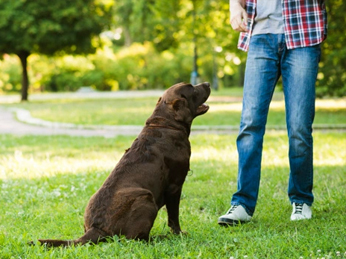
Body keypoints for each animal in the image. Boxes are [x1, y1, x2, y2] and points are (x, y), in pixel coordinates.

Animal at [37, 82, 211, 248]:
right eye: (192, 88)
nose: (208, 83)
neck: (166, 124)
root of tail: (96, 227)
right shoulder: (175, 186)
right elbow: (173, 217)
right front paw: (178, 234)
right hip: (145, 197)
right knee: (136, 238)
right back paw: (161, 238)